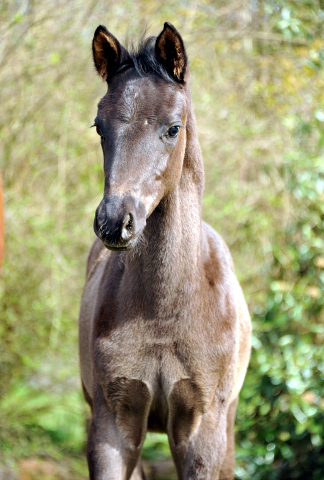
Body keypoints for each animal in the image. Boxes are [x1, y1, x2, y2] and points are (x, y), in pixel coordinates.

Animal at [79, 21, 252, 480]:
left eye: (173, 127)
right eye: (100, 127)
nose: (114, 221)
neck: (164, 312)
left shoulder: (202, 429)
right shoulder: (112, 422)